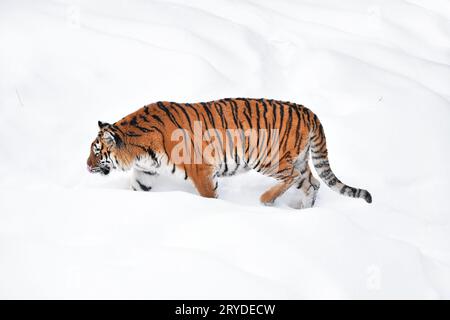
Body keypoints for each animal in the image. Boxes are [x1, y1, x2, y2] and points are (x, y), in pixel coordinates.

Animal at [86, 97, 370, 208]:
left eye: (97, 152)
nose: (86, 166)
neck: (140, 150)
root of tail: (307, 110)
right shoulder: (146, 172)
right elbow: (138, 189)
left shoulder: (201, 170)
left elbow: (208, 196)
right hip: (298, 160)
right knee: (313, 183)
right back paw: (302, 211)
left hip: (269, 159)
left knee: (293, 178)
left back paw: (266, 200)